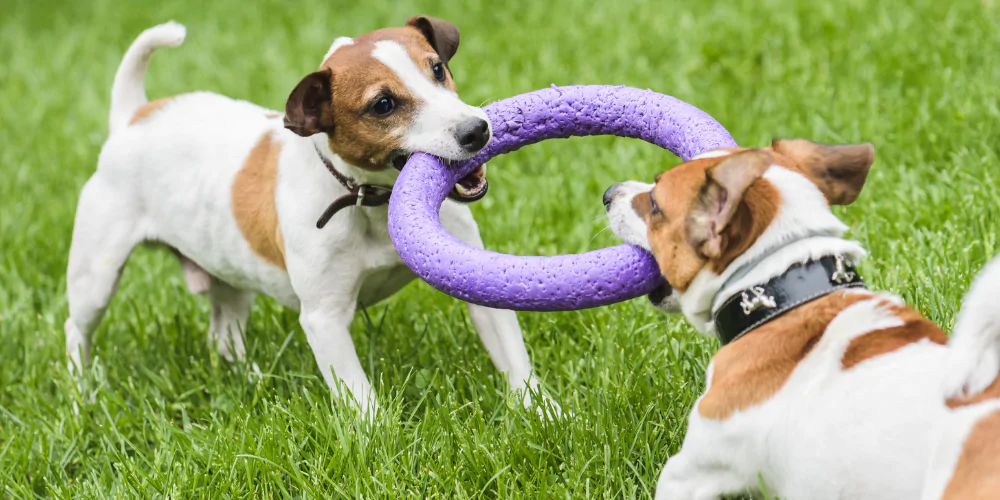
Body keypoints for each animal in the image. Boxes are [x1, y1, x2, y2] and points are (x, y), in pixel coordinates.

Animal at [66, 17, 560, 416]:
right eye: (383, 105)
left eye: (437, 68)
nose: (477, 130)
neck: (368, 202)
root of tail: (134, 116)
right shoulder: (325, 319)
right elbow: (358, 395)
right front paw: (379, 440)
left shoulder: (473, 277)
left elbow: (512, 353)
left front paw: (543, 411)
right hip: (97, 276)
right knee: (77, 329)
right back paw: (82, 394)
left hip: (230, 276)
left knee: (224, 333)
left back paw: (253, 379)